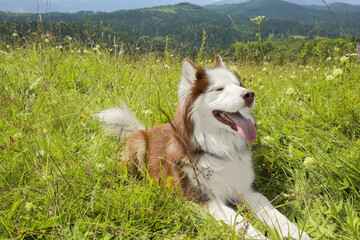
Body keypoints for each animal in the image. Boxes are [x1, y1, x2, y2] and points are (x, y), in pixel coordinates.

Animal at [97, 55, 310, 239]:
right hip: (139, 148)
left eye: (238, 85)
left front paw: (298, 234)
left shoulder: (248, 190)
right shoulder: (204, 199)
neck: (221, 150)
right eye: (219, 89)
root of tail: (142, 129)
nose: (250, 94)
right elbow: (243, 225)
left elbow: (278, 217)